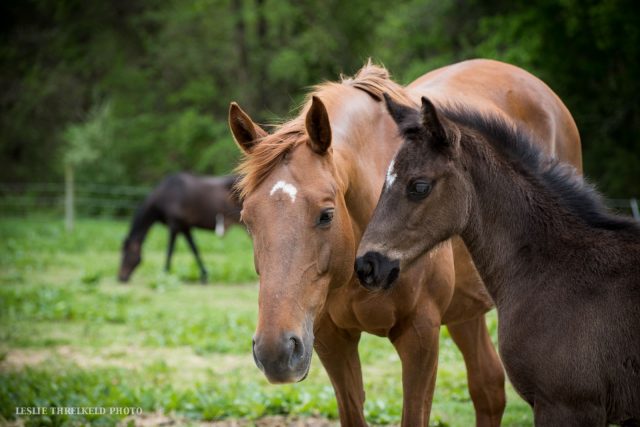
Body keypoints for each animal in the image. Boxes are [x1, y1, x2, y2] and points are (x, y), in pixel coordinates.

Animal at [229, 58, 580, 426]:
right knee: (488, 387)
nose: (275, 352)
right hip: (465, 310)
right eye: (247, 220)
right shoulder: (330, 338)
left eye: (326, 214)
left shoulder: (420, 336)